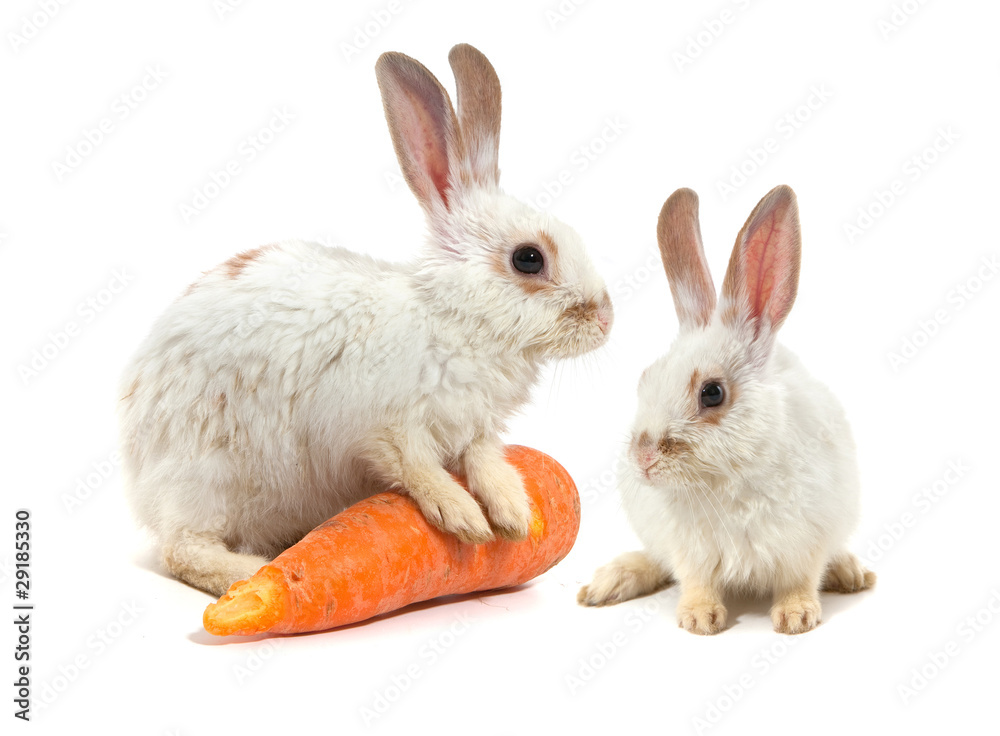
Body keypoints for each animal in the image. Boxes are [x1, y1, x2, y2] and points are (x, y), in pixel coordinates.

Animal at [119, 44, 613, 597]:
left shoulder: (475, 431)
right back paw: (252, 573)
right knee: (182, 549)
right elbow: (416, 468)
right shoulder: (383, 426)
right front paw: (462, 517)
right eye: (529, 258)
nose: (606, 318)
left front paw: (512, 515)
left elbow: (487, 463)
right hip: (208, 475)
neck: (455, 320)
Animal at [578, 185, 873, 634]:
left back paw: (852, 574)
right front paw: (699, 618)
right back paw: (608, 582)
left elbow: (799, 580)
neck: (727, 481)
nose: (643, 459)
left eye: (712, 393)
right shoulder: (689, 551)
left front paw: (796, 617)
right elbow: (695, 581)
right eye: (646, 378)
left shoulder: (805, 543)